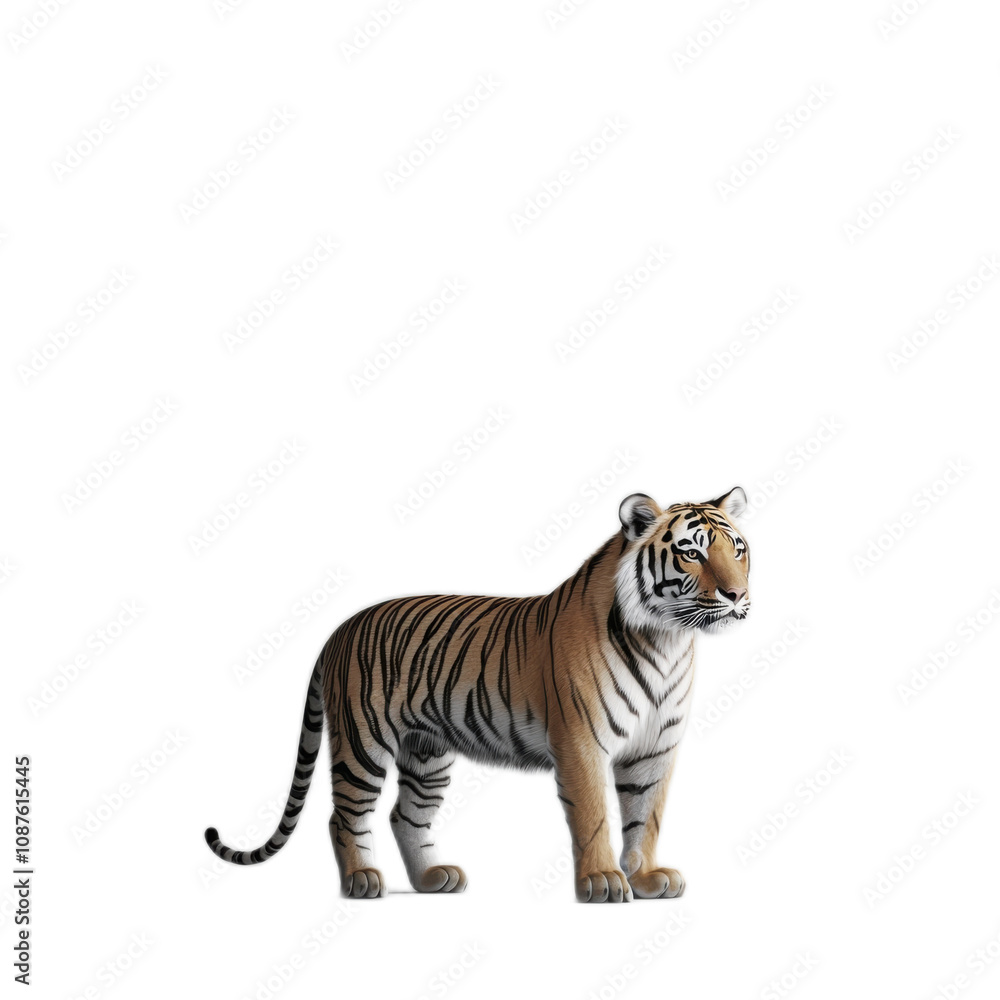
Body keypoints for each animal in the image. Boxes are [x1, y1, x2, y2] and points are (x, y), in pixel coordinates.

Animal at [205, 487, 751, 903]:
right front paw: (602, 882)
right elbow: (595, 815)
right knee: (345, 815)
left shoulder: (655, 749)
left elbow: (645, 817)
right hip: (363, 742)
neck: (666, 641)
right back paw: (361, 880)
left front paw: (647, 878)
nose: (737, 596)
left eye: (738, 549)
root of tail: (340, 629)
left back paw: (433, 879)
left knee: (405, 815)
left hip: (427, 752)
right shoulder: (582, 743)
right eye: (692, 552)